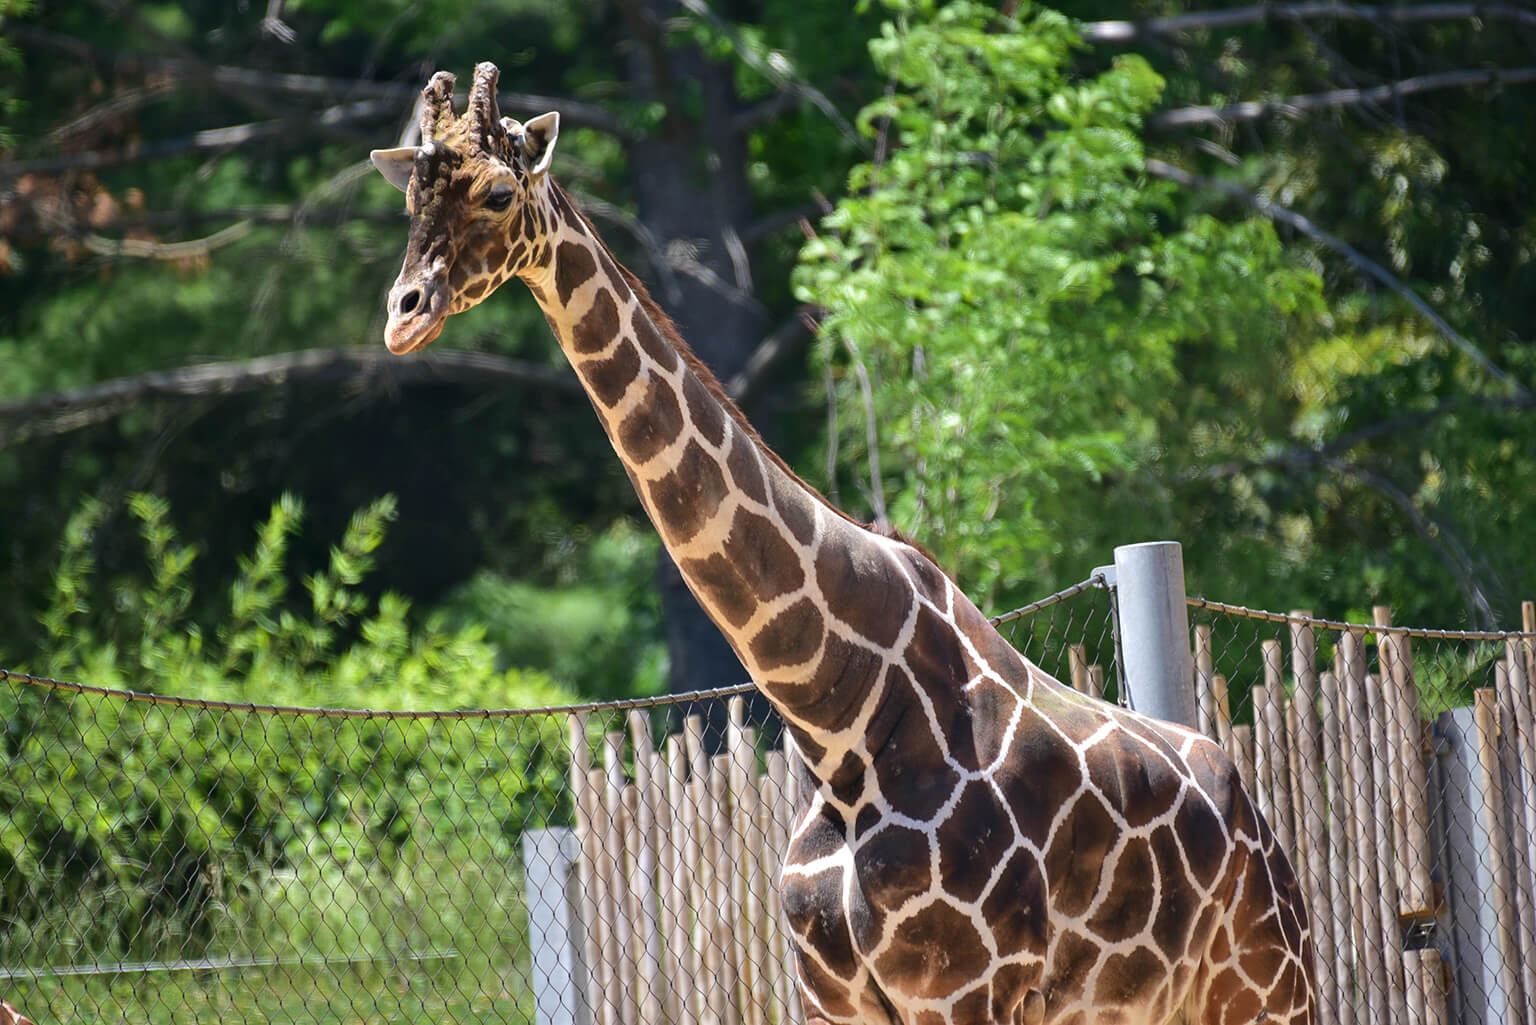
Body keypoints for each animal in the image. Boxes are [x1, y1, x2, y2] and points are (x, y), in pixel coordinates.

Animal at [374, 66, 1320, 1025]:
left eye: (500, 191)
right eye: (410, 197)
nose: (404, 314)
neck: (838, 724)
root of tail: (1263, 831)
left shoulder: (963, 993)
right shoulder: (835, 997)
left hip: (1268, 987)